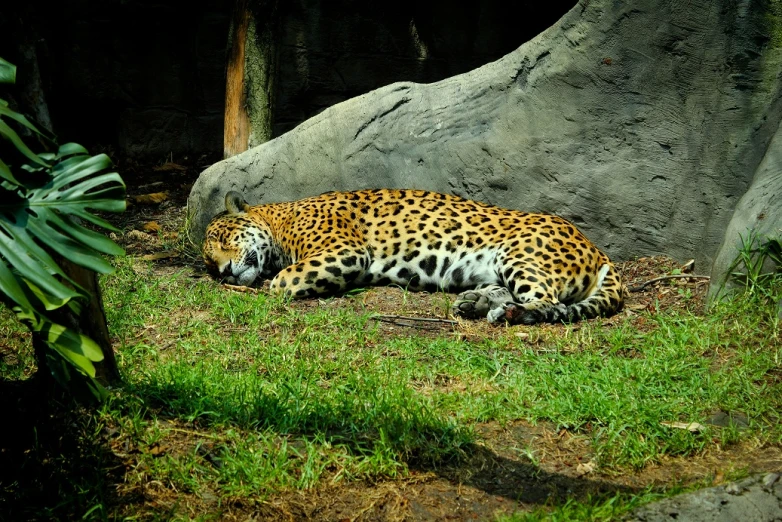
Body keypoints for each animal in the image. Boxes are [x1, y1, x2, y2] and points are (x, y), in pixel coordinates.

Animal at [202, 189, 624, 322]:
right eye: (207, 263)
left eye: (222, 238)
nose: (221, 271)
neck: (281, 219)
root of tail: (599, 250)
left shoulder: (344, 249)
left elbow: (281, 282)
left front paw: (271, 286)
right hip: (498, 267)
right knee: (512, 293)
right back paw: (475, 304)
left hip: (521, 254)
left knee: (548, 302)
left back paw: (510, 315)